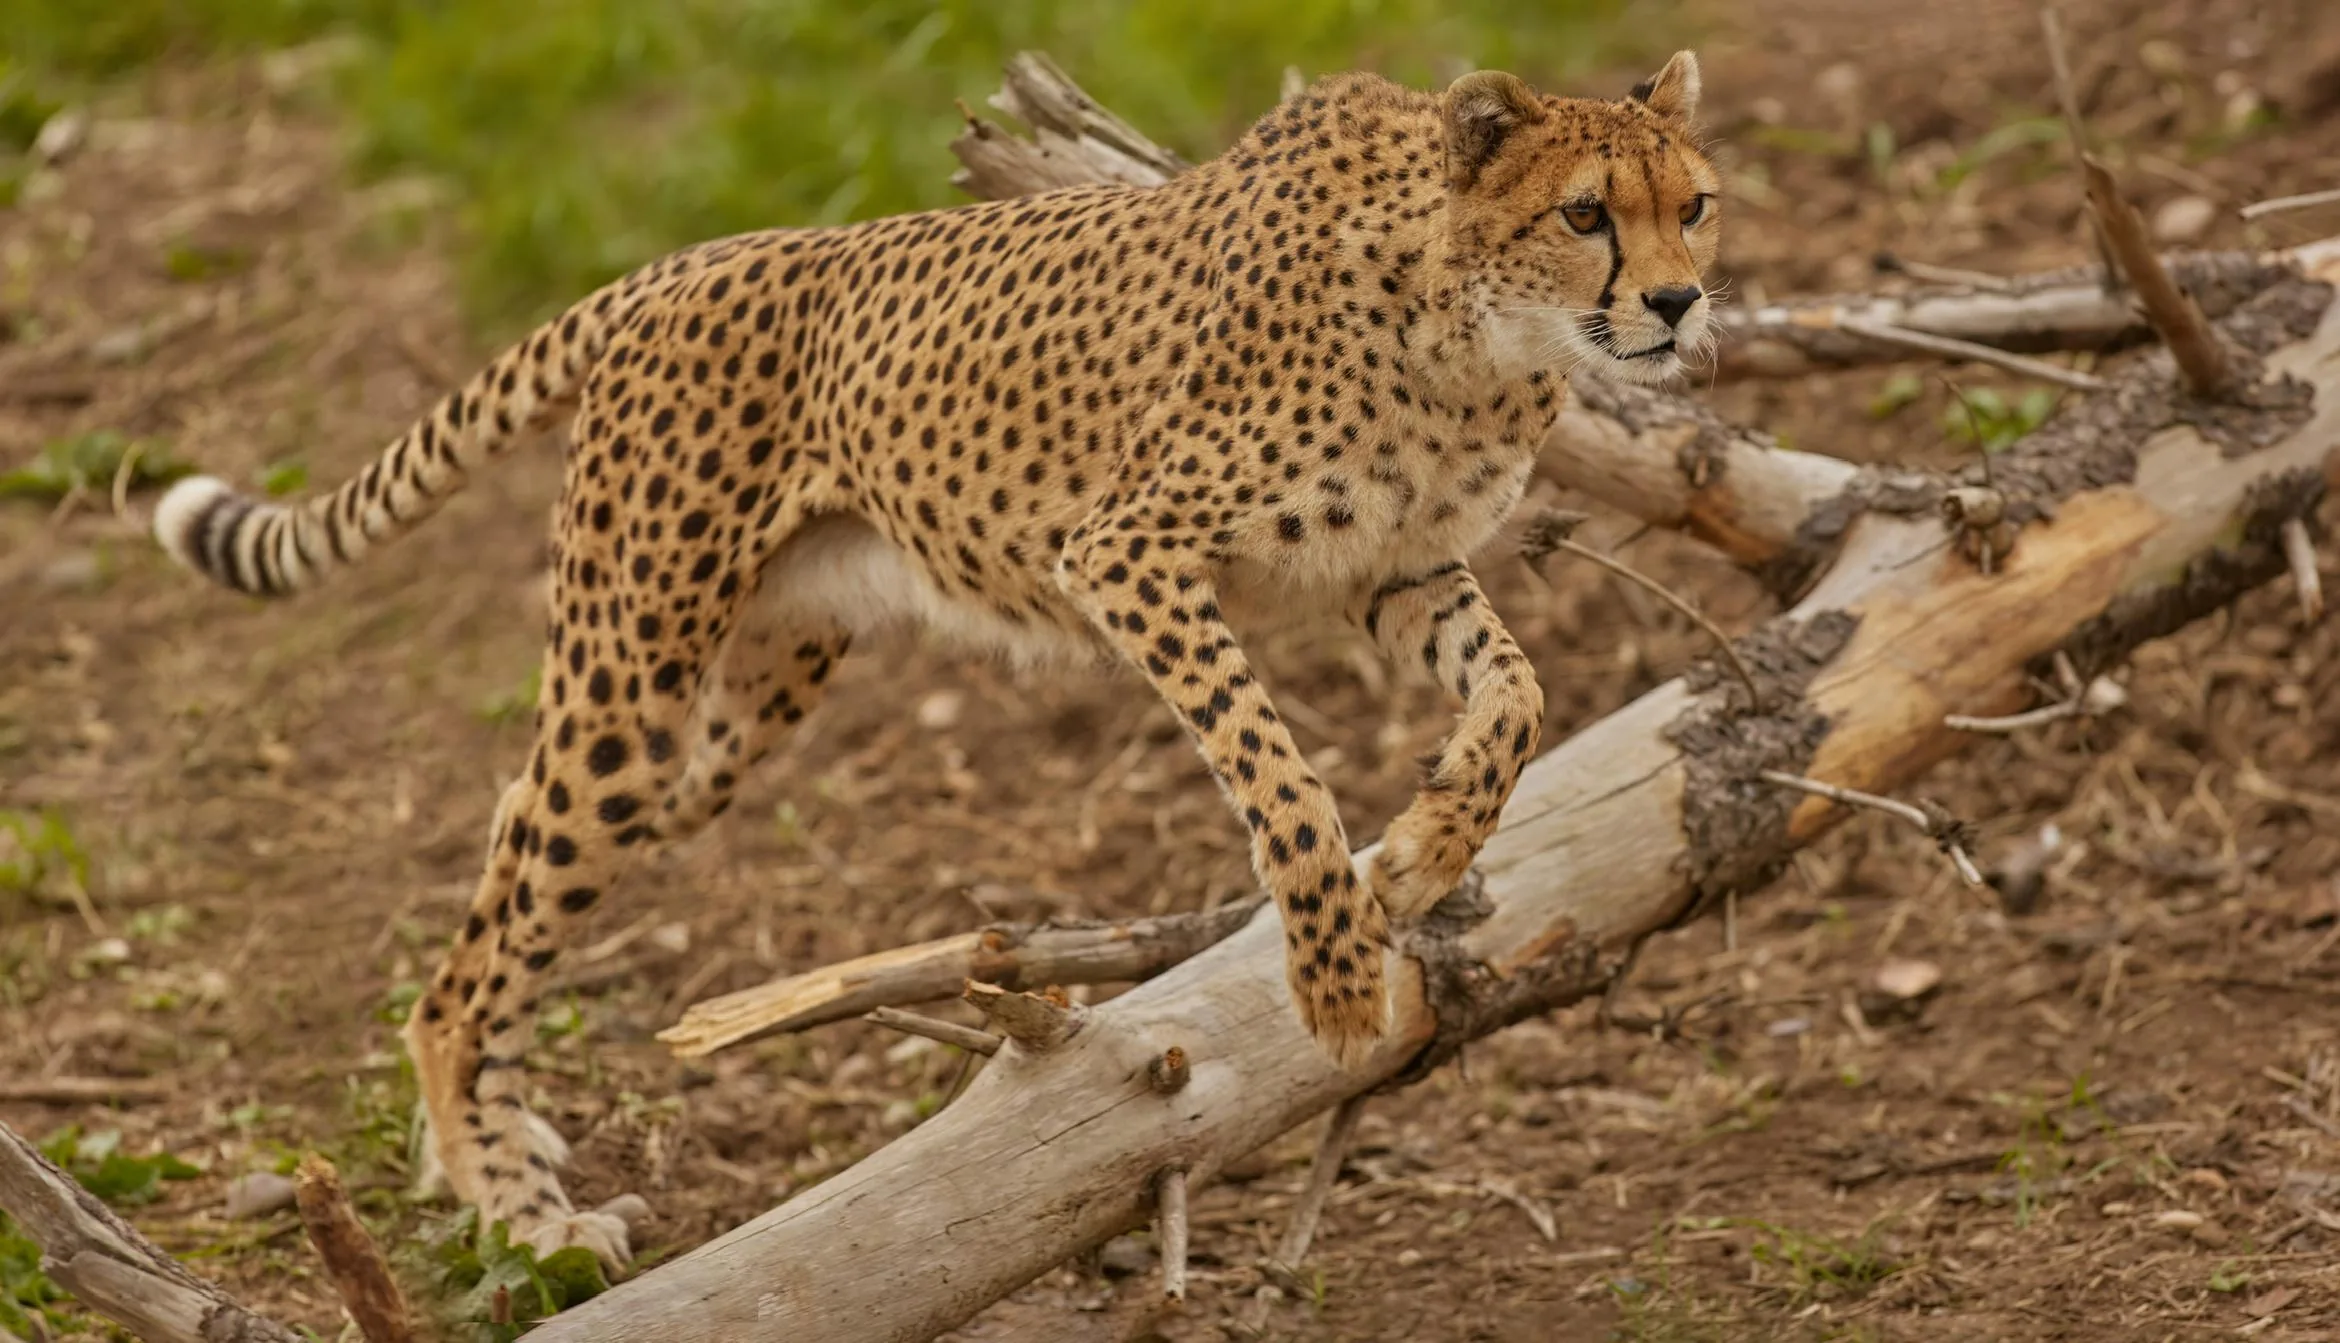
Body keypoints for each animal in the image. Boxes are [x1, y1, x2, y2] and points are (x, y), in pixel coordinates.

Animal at [151, 51, 1721, 1270]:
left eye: (1693, 205)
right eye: (1587, 213)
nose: (1682, 305)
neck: (1476, 329)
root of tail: (688, 258)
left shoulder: (1393, 571)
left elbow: (1518, 696)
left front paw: (1427, 849)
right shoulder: (1129, 553)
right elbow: (1274, 767)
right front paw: (1337, 971)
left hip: (724, 720)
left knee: (508, 843)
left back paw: (477, 1142)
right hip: (631, 689)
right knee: (475, 939)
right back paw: (517, 1203)